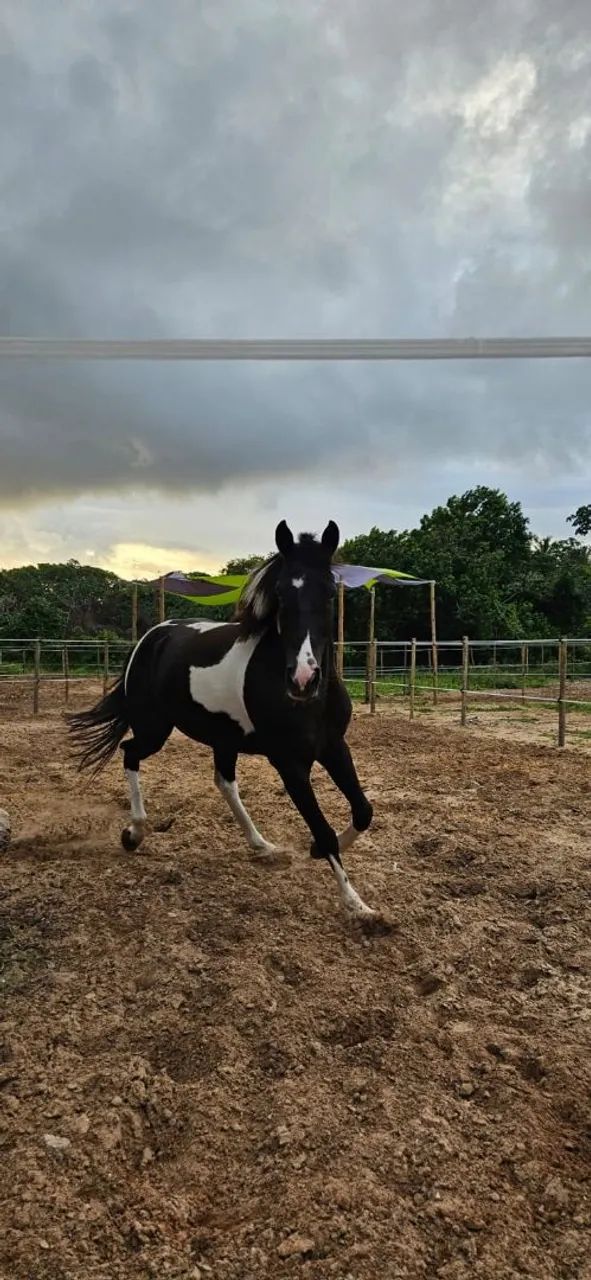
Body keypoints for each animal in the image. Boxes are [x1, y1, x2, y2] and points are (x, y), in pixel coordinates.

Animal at [68, 520, 379, 922]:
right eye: (281, 592)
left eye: (329, 591)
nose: (303, 679)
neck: (309, 702)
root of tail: (152, 636)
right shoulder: (290, 763)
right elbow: (323, 829)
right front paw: (358, 906)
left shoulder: (333, 747)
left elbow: (363, 811)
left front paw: (316, 854)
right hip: (154, 729)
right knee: (130, 752)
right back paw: (134, 833)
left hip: (223, 737)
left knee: (223, 781)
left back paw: (262, 845)